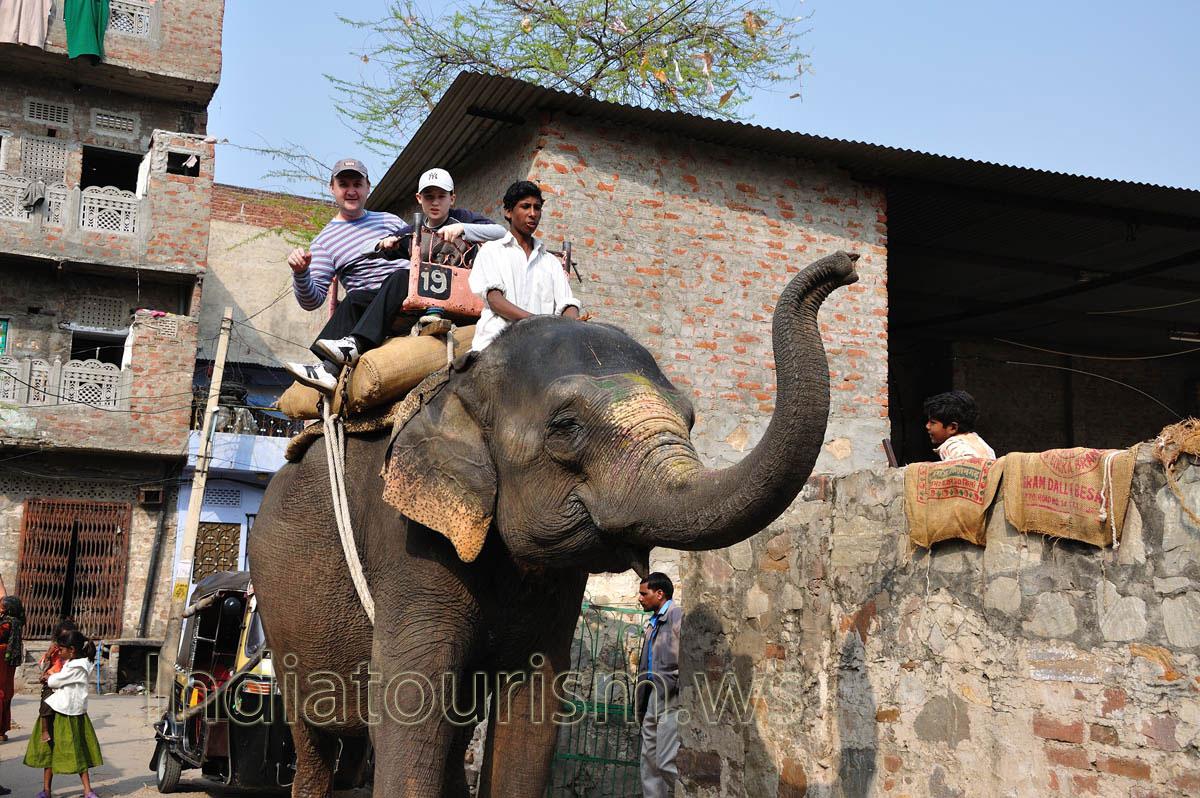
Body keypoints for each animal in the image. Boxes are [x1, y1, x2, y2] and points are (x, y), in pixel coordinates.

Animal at [248, 250, 859, 797]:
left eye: (690, 419)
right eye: (566, 428)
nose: (848, 265)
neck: (463, 383)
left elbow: (534, 707)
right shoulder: (407, 538)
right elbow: (411, 700)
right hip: (278, 610)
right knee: (313, 739)